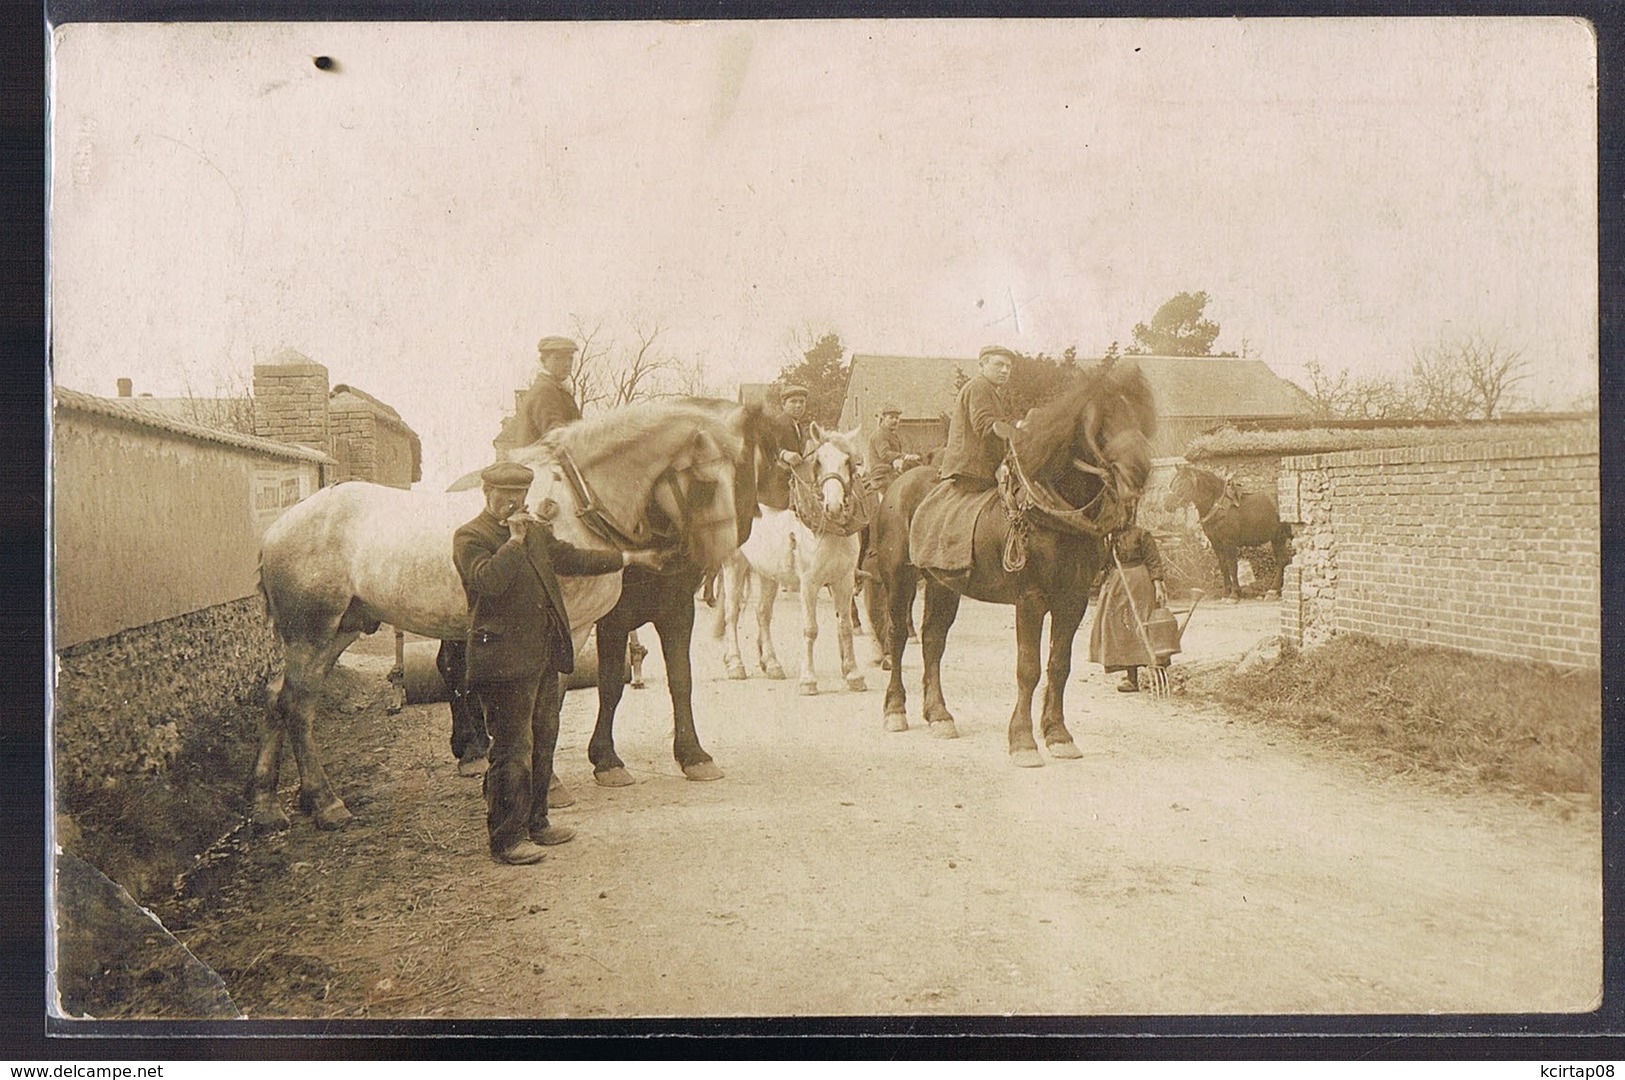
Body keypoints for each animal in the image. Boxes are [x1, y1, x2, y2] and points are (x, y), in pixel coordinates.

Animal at [255, 399, 760, 828]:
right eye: (706, 483)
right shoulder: (572, 631)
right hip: (313, 633)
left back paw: (269, 804)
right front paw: (550, 784)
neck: (572, 505)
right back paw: (325, 801)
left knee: (280, 698)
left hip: (338, 631)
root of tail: (277, 528)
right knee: (298, 705)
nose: (718, 559)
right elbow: (545, 711)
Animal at [718, 425, 871, 695]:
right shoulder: (809, 583)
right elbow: (810, 629)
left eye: (848, 461)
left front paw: (854, 675)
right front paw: (808, 679)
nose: (833, 506)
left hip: (767, 572)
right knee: (732, 612)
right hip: (734, 564)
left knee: (762, 613)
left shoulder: (844, 581)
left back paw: (772, 663)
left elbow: (844, 627)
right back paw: (735, 664)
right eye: (818, 461)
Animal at [877, 362, 1157, 766]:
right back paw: (895, 709)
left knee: (933, 640)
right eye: (1103, 417)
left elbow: (1059, 666)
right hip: (899, 579)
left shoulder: (1072, 601)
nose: (1138, 471)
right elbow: (1028, 668)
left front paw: (1057, 734)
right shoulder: (1030, 600)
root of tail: (897, 486)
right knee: (897, 635)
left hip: (943, 584)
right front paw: (1023, 740)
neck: (1050, 508)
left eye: (1141, 414)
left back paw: (939, 715)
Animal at [1163, 461, 1287, 600]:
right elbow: (1224, 566)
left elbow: (1232, 566)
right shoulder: (1216, 544)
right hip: (1277, 539)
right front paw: (1226, 592)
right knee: (1282, 561)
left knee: (1283, 561)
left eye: (1183, 484)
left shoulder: (1229, 543)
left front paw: (1234, 594)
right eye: (1172, 484)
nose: (1167, 505)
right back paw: (1276, 591)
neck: (1218, 507)